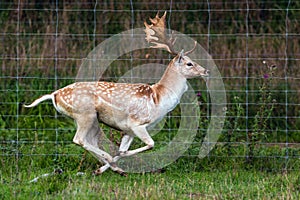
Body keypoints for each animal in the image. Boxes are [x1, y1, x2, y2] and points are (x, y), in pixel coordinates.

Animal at [24, 11, 210, 176]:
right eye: (189, 63)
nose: (206, 71)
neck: (158, 99)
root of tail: (54, 94)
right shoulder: (137, 123)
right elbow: (150, 144)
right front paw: (118, 158)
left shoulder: (128, 130)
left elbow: (123, 148)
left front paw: (105, 168)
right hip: (85, 114)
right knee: (79, 139)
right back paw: (108, 159)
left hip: (91, 119)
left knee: (89, 140)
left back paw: (112, 167)